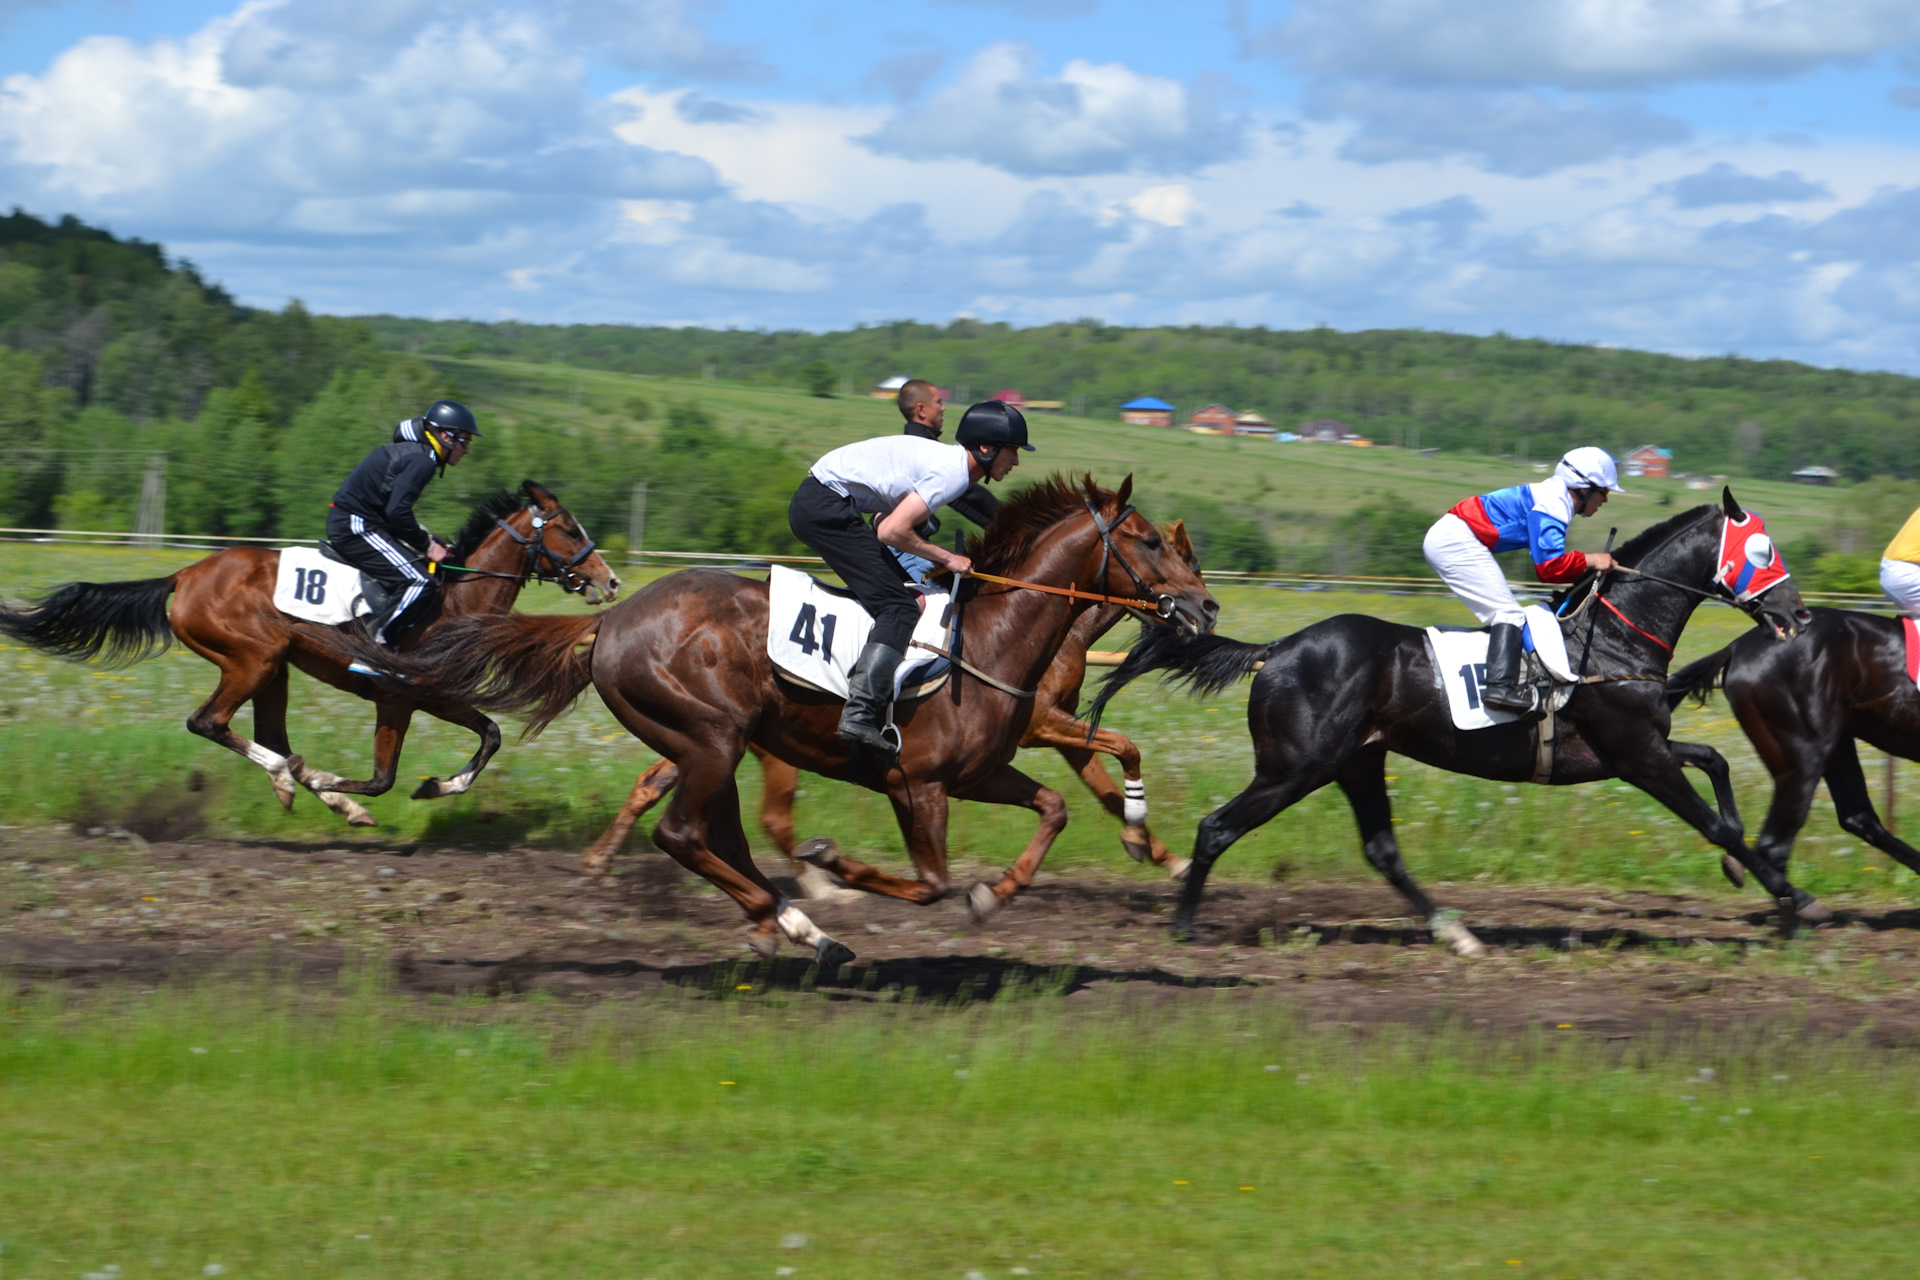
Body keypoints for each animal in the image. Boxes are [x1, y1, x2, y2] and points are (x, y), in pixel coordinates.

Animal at [0, 483, 614, 832]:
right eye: (568, 528)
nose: (610, 580)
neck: (455, 599)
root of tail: (184, 575)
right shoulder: (397, 696)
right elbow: (381, 779)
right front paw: (340, 790)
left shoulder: (436, 695)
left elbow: (489, 736)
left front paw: (434, 787)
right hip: (254, 659)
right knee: (210, 723)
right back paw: (288, 779)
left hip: (274, 670)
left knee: (268, 735)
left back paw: (300, 780)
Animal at [572, 514, 1198, 886]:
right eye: (1155, 545)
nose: (1206, 607)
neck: (998, 633)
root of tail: (614, 619)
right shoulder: (1040, 724)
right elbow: (1119, 753)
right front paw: (1153, 844)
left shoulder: (1010, 751)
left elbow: (1095, 783)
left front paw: (1151, 846)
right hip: (730, 737)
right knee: (758, 815)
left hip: (719, 737)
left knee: (664, 783)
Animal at [1098, 491, 1812, 951]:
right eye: (1762, 550)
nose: (1800, 615)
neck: (1613, 639)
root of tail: (1277, 649)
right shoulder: (1638, 757)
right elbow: (1715, 823)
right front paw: (1787, 894)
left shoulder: (1637, 750)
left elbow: (1717, 763)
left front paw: (1751, 873)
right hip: (1296, 767)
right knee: (1217, 828)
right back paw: (1185, 925)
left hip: (1358, 760)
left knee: (1382, 850)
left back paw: (1457, 932)